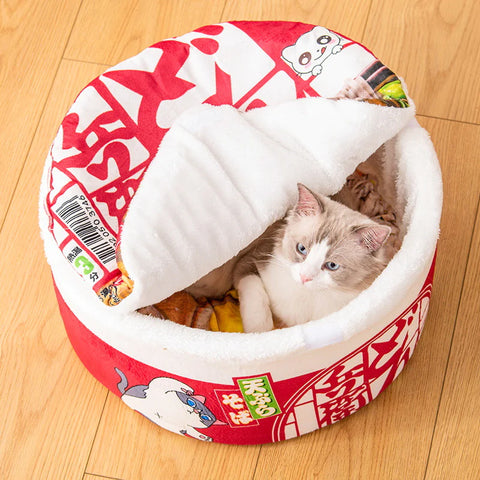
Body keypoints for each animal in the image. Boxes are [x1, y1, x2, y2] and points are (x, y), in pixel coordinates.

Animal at [186, 184, 392, 334]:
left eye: (332, 265)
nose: (304, 278)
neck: (306, 298)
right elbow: (256, 299)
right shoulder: (250, 259)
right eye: (301, 249)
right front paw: (260, 333)